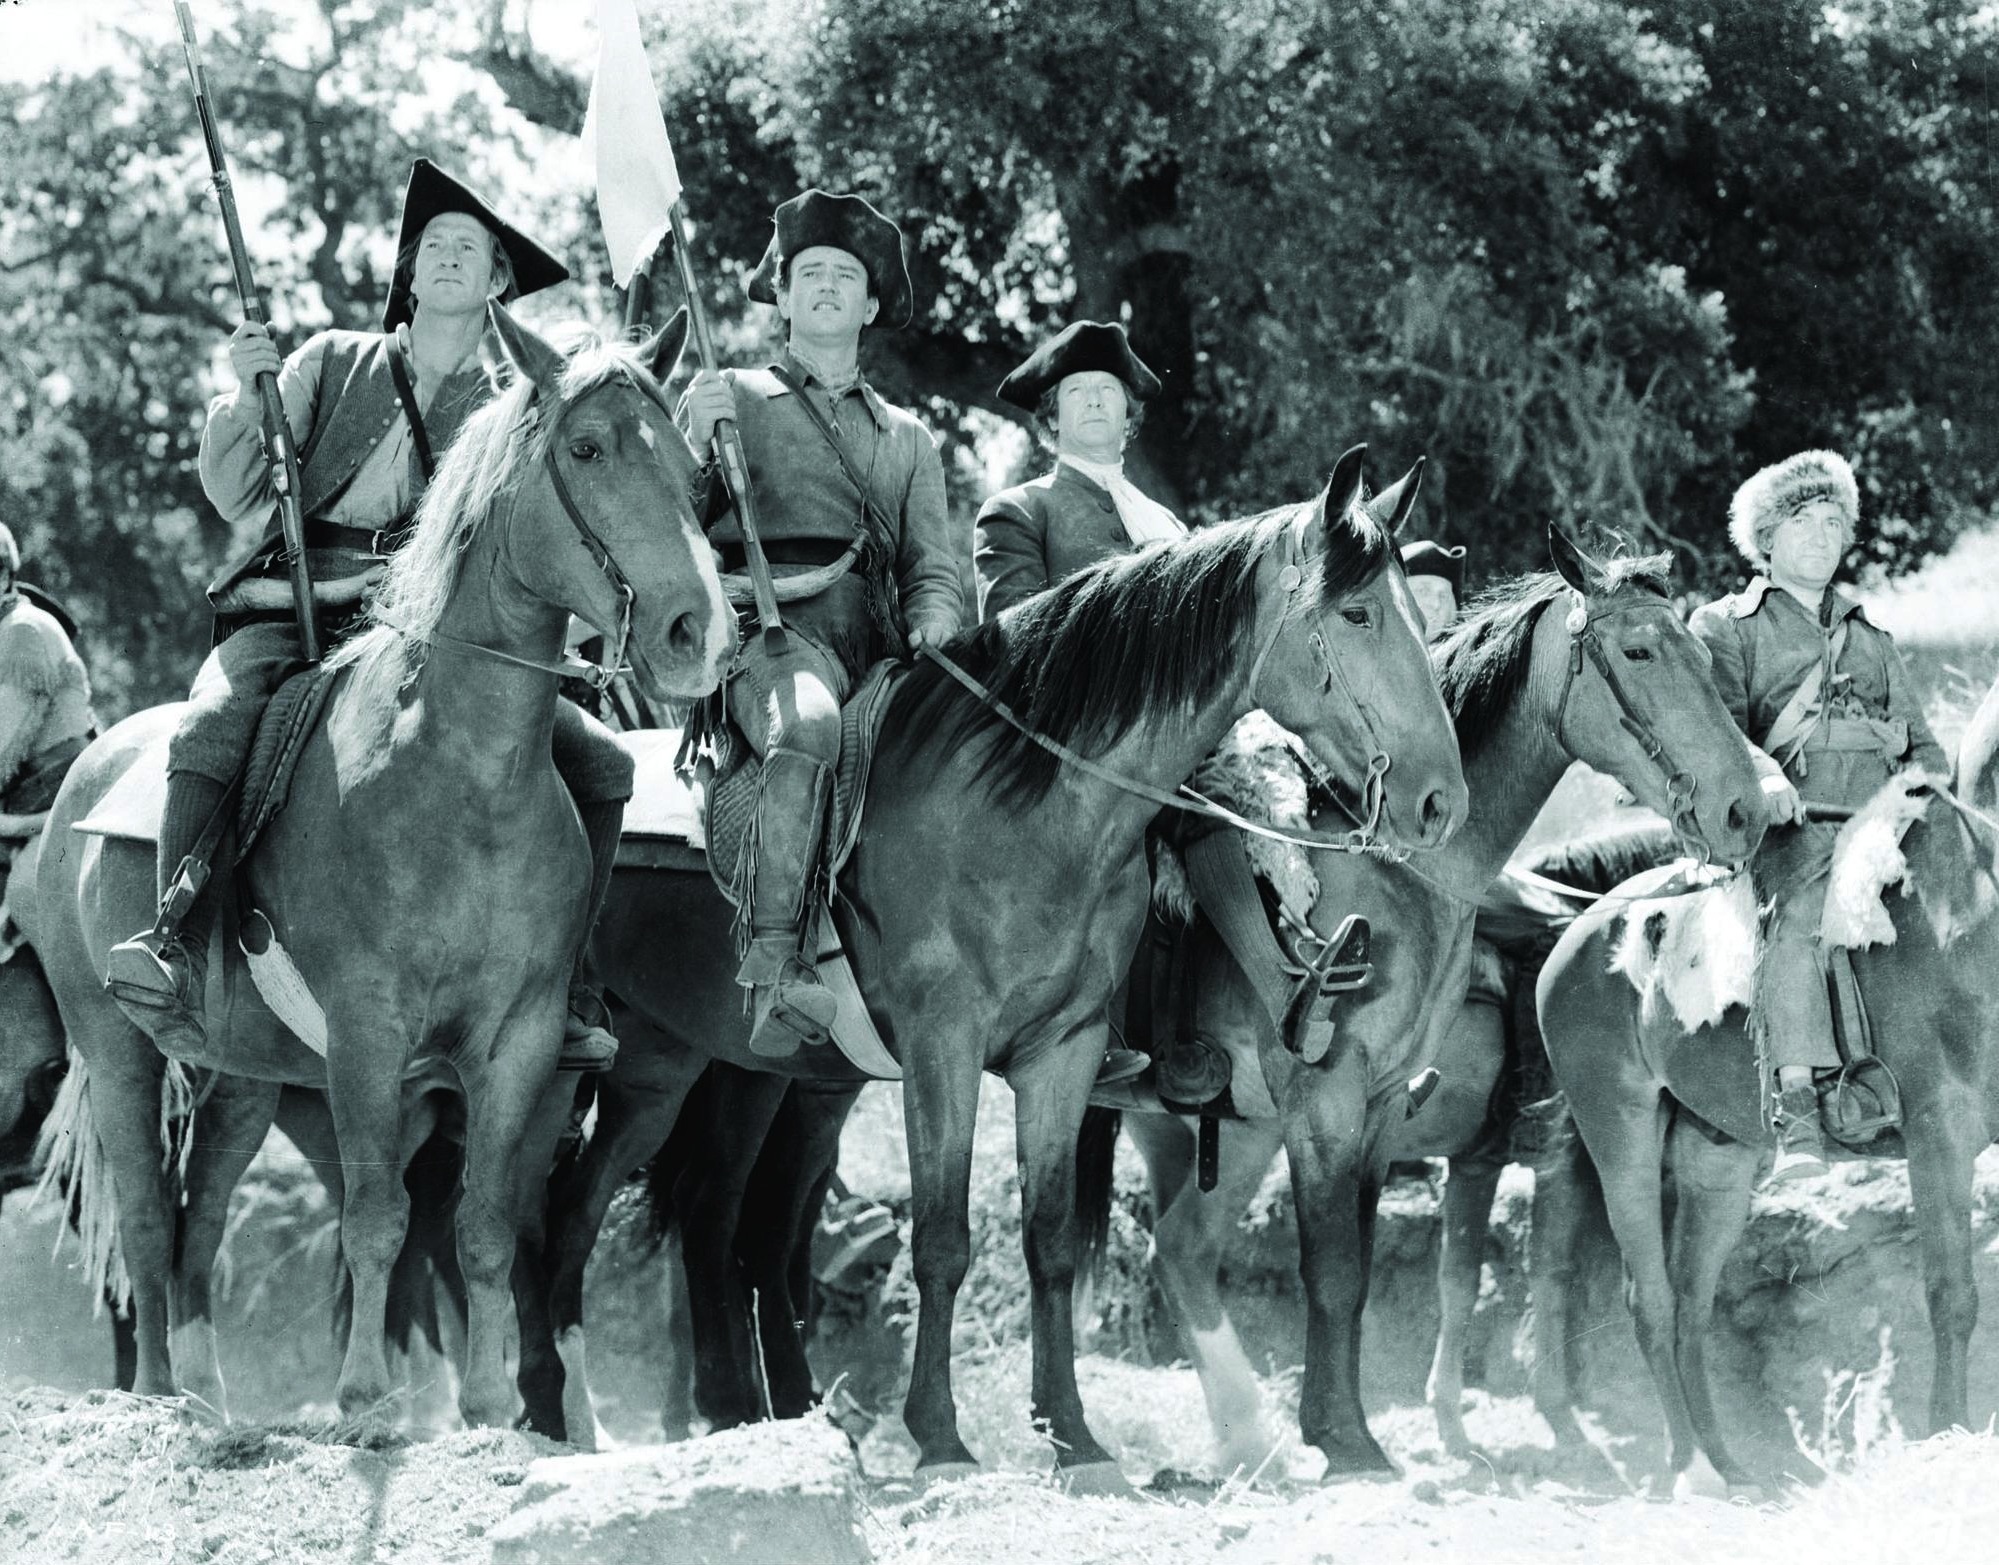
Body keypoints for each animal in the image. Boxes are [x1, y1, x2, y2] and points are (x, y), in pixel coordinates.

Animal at [33, 309, 735, 1431]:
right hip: (115, 1049)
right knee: (146, 1214)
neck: (459, 775)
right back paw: (155, 1397)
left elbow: (483, 1223)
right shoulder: (368, 1036)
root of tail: (84, 777)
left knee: (202, 1215)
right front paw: (365, 1399)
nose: (696, 632)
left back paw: (207, 1395)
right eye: (588, 449)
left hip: (246, 1076)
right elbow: (377, 1216)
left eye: (688, 465)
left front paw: (489, 1405)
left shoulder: (520, 1042)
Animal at [531, 447, 1471, 1487]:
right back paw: (557, 1411)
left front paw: (1073, 1436)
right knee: (556, 1208)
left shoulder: (1064, 1053)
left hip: (709, 1068)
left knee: (676, 1214)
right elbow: (942, 1238)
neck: (1025, 810)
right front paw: (940, 1436)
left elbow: (1048, 1240)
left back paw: (714, 1409)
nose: (1439, 800)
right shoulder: (943, 1049)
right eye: (1359, 614)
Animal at [1079, 535, 1767, 1479]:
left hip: (1217, 1129)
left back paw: (1243, 1437)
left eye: (1702, 653)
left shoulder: (1401, 1124)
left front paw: (1381, 1425)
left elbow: (1416, 1271)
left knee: (1180, 1247)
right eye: (1638, 651)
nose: (1744, 808)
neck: (1394, 873)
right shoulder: (1385, 1114)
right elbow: (1391, 1268)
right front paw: (1362, 1438)